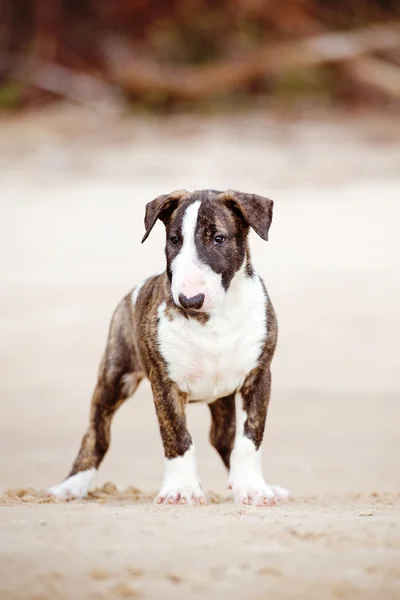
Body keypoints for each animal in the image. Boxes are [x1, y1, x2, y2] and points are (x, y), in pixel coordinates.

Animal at [48, 189, 290, 506]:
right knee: (97, 434)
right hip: (115, 377)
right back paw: (71, 485)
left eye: (219, 238)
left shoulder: (259, 376)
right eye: (174, 239)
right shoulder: (164, 382)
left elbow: (250, 438)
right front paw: (182, 490)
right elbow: (176, 435)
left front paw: (252, 488)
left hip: (221, 395)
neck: (212, 320)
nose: (189, 299)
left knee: (223, 437)